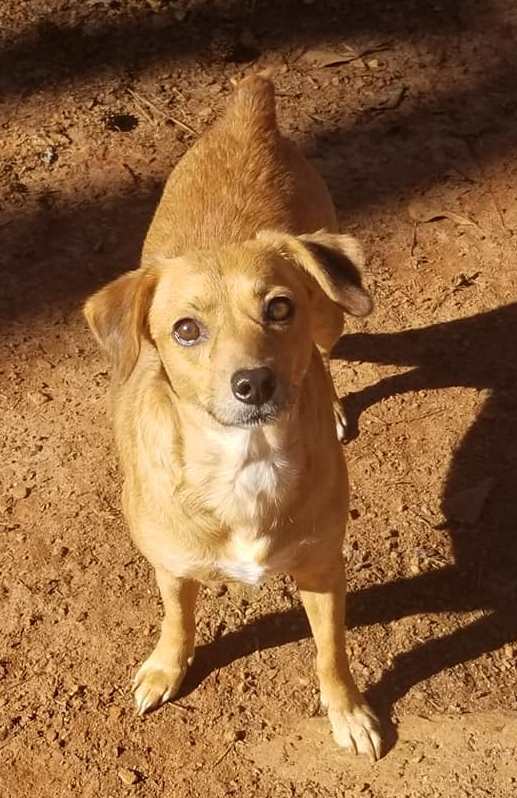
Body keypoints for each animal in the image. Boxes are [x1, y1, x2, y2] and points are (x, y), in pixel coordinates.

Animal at [84, 75, 380, 764]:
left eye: (278, 308)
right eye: (185, 330)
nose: (254, 383)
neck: (248, 460)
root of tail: (249, 113)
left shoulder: (324, 569)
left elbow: (332, 653)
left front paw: (348, 712)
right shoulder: (170, 567)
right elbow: (178, 619)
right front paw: (166, 668)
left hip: (335, 314)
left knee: (328, 350)